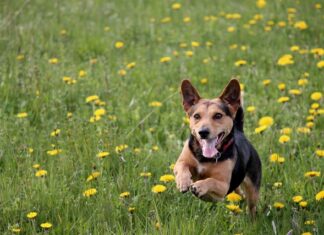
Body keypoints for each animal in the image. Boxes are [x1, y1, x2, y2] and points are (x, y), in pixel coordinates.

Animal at [175, 79, 260, 217]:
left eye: (218, 115)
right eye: (196, 116)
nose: (203, 132)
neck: (205, 157)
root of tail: (239, 132)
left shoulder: (224, 187)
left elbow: (211, 181)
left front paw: (199, 186)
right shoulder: (181, 161)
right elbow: (182, 166)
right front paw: (183, 181)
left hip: (252, 189)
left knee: (252, 206)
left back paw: (252, 219)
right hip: (237, 186)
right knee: (240, 193)